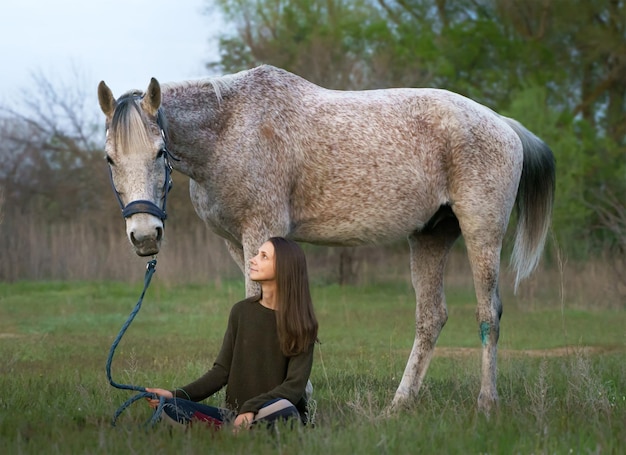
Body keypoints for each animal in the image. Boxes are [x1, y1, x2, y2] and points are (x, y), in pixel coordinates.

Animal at [96, 64, 552, 414]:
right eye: (109, 158)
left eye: (160, 152)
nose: (144, 235)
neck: (230, 128)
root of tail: (504, 125)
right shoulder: (237, 244)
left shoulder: (262, 230)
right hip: (430, 237)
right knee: (431, 317)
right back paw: (398, 406)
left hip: (481, 232)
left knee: (488, 314)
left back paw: (486, 404)